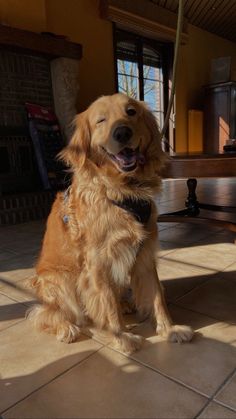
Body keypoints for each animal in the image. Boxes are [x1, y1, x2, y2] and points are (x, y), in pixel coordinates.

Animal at [28, 93, 193, 352]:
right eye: (101, 120)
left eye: (131, 112)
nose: (122, 132)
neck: (124, 191)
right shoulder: (98, 262)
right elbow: (107, 304)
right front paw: (121, 337)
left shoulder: (145, 254)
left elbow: (157, 296)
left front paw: (169, 329)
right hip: (60, 280)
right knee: (48, 314)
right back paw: (66, 328)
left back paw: (124, 304)